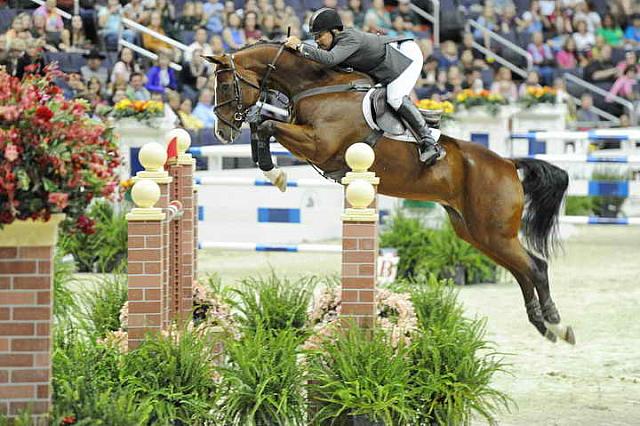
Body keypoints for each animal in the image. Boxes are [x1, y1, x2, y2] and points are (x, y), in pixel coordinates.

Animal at [205, 41, 576, 344]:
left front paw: (276, 172)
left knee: (535, 266)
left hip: (493, 231)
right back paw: (543, 326)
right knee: (521, 270)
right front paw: (274, 171)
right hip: (475, 232)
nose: (222, 132)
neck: (317, 88)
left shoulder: (319, 144)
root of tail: (508, 163)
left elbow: (267, 124)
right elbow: (262, 124)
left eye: (224, 84)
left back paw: (557, 324)